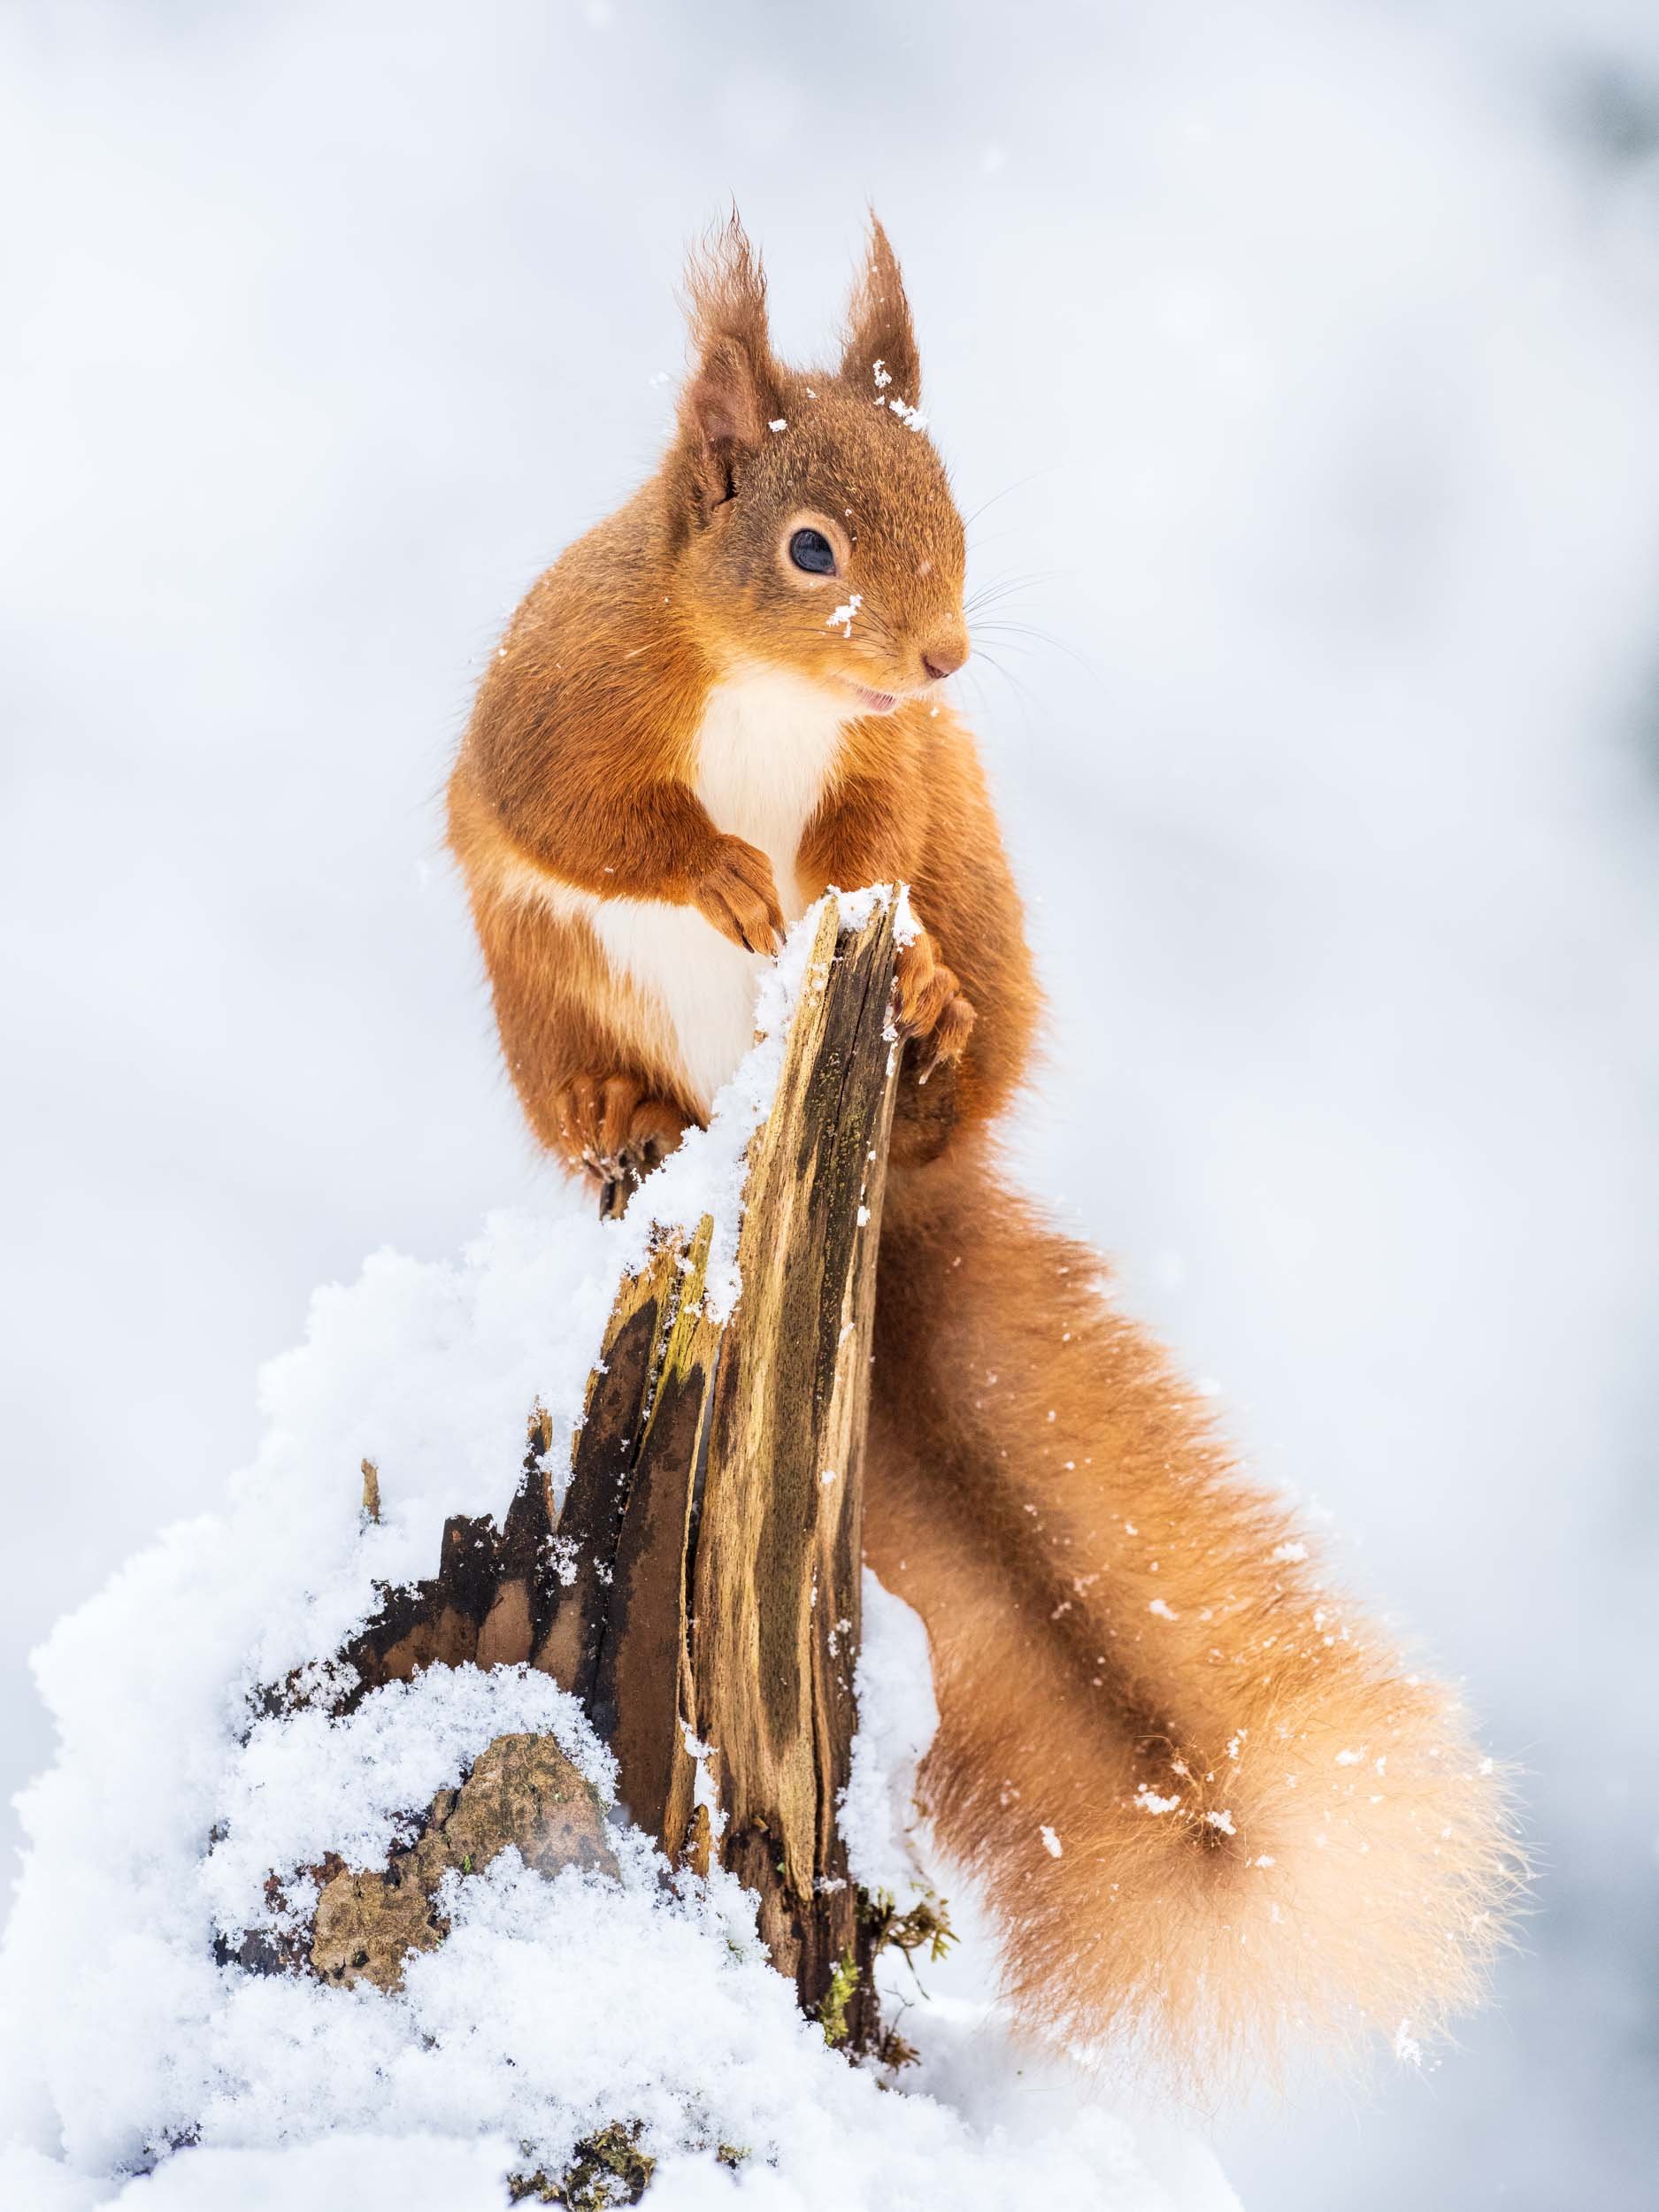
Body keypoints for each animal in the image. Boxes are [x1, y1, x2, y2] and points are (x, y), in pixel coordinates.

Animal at [451, 215, 1522, 2079]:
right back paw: (624, 1129)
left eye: (956, 512)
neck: (776, 692)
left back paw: (936, 1023)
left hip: (978, 896)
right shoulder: (564, 701)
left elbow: (866, 832)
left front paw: (831, 908)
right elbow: (589, 817)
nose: (943, 659)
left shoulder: (898, 779)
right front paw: (721, 875)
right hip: (549, 1003)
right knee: (599, 1077)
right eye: (809, 547)